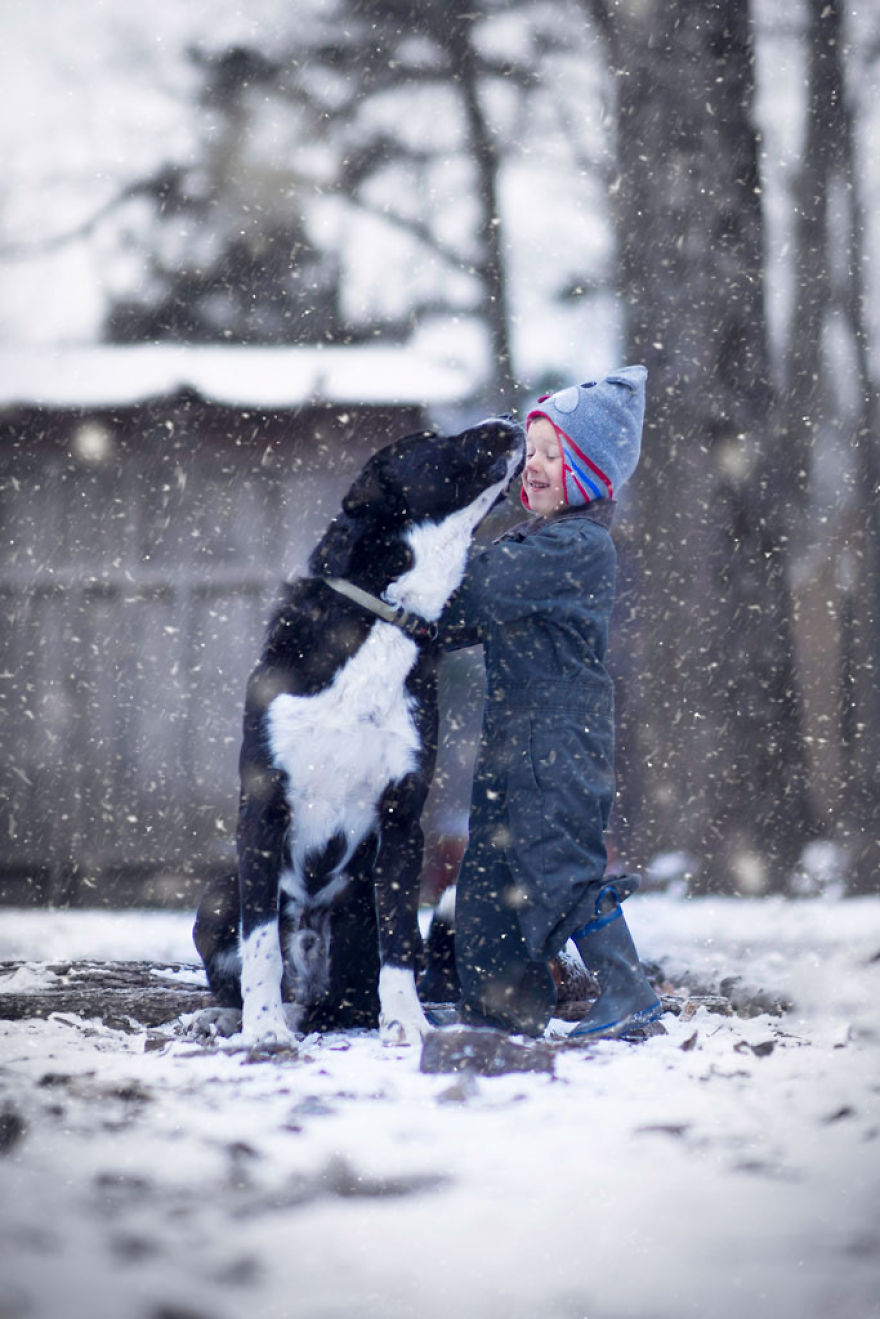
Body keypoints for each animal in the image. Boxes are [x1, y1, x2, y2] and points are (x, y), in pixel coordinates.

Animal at [192, 416, 522, 1044]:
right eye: (433, 444)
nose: (513, 419)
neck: (385, 614)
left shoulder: (403, 818)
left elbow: (397, 945)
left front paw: (409, 1023)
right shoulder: (262, 807)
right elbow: (260, 946)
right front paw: (263, 1029)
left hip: (354, 912)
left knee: (348, 1002)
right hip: (218, 896)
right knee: (263, 965)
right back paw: (232, 1014)